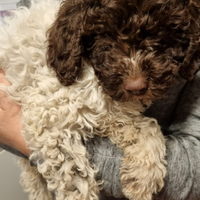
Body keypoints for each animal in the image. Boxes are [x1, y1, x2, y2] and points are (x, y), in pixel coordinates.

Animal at [0, 0, 199, 200]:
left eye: (162, 34)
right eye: (107, 34)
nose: (136, 87)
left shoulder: (112, 110)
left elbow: (145, 126)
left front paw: (142, 176)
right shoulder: (48, 116)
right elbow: (72, 173)